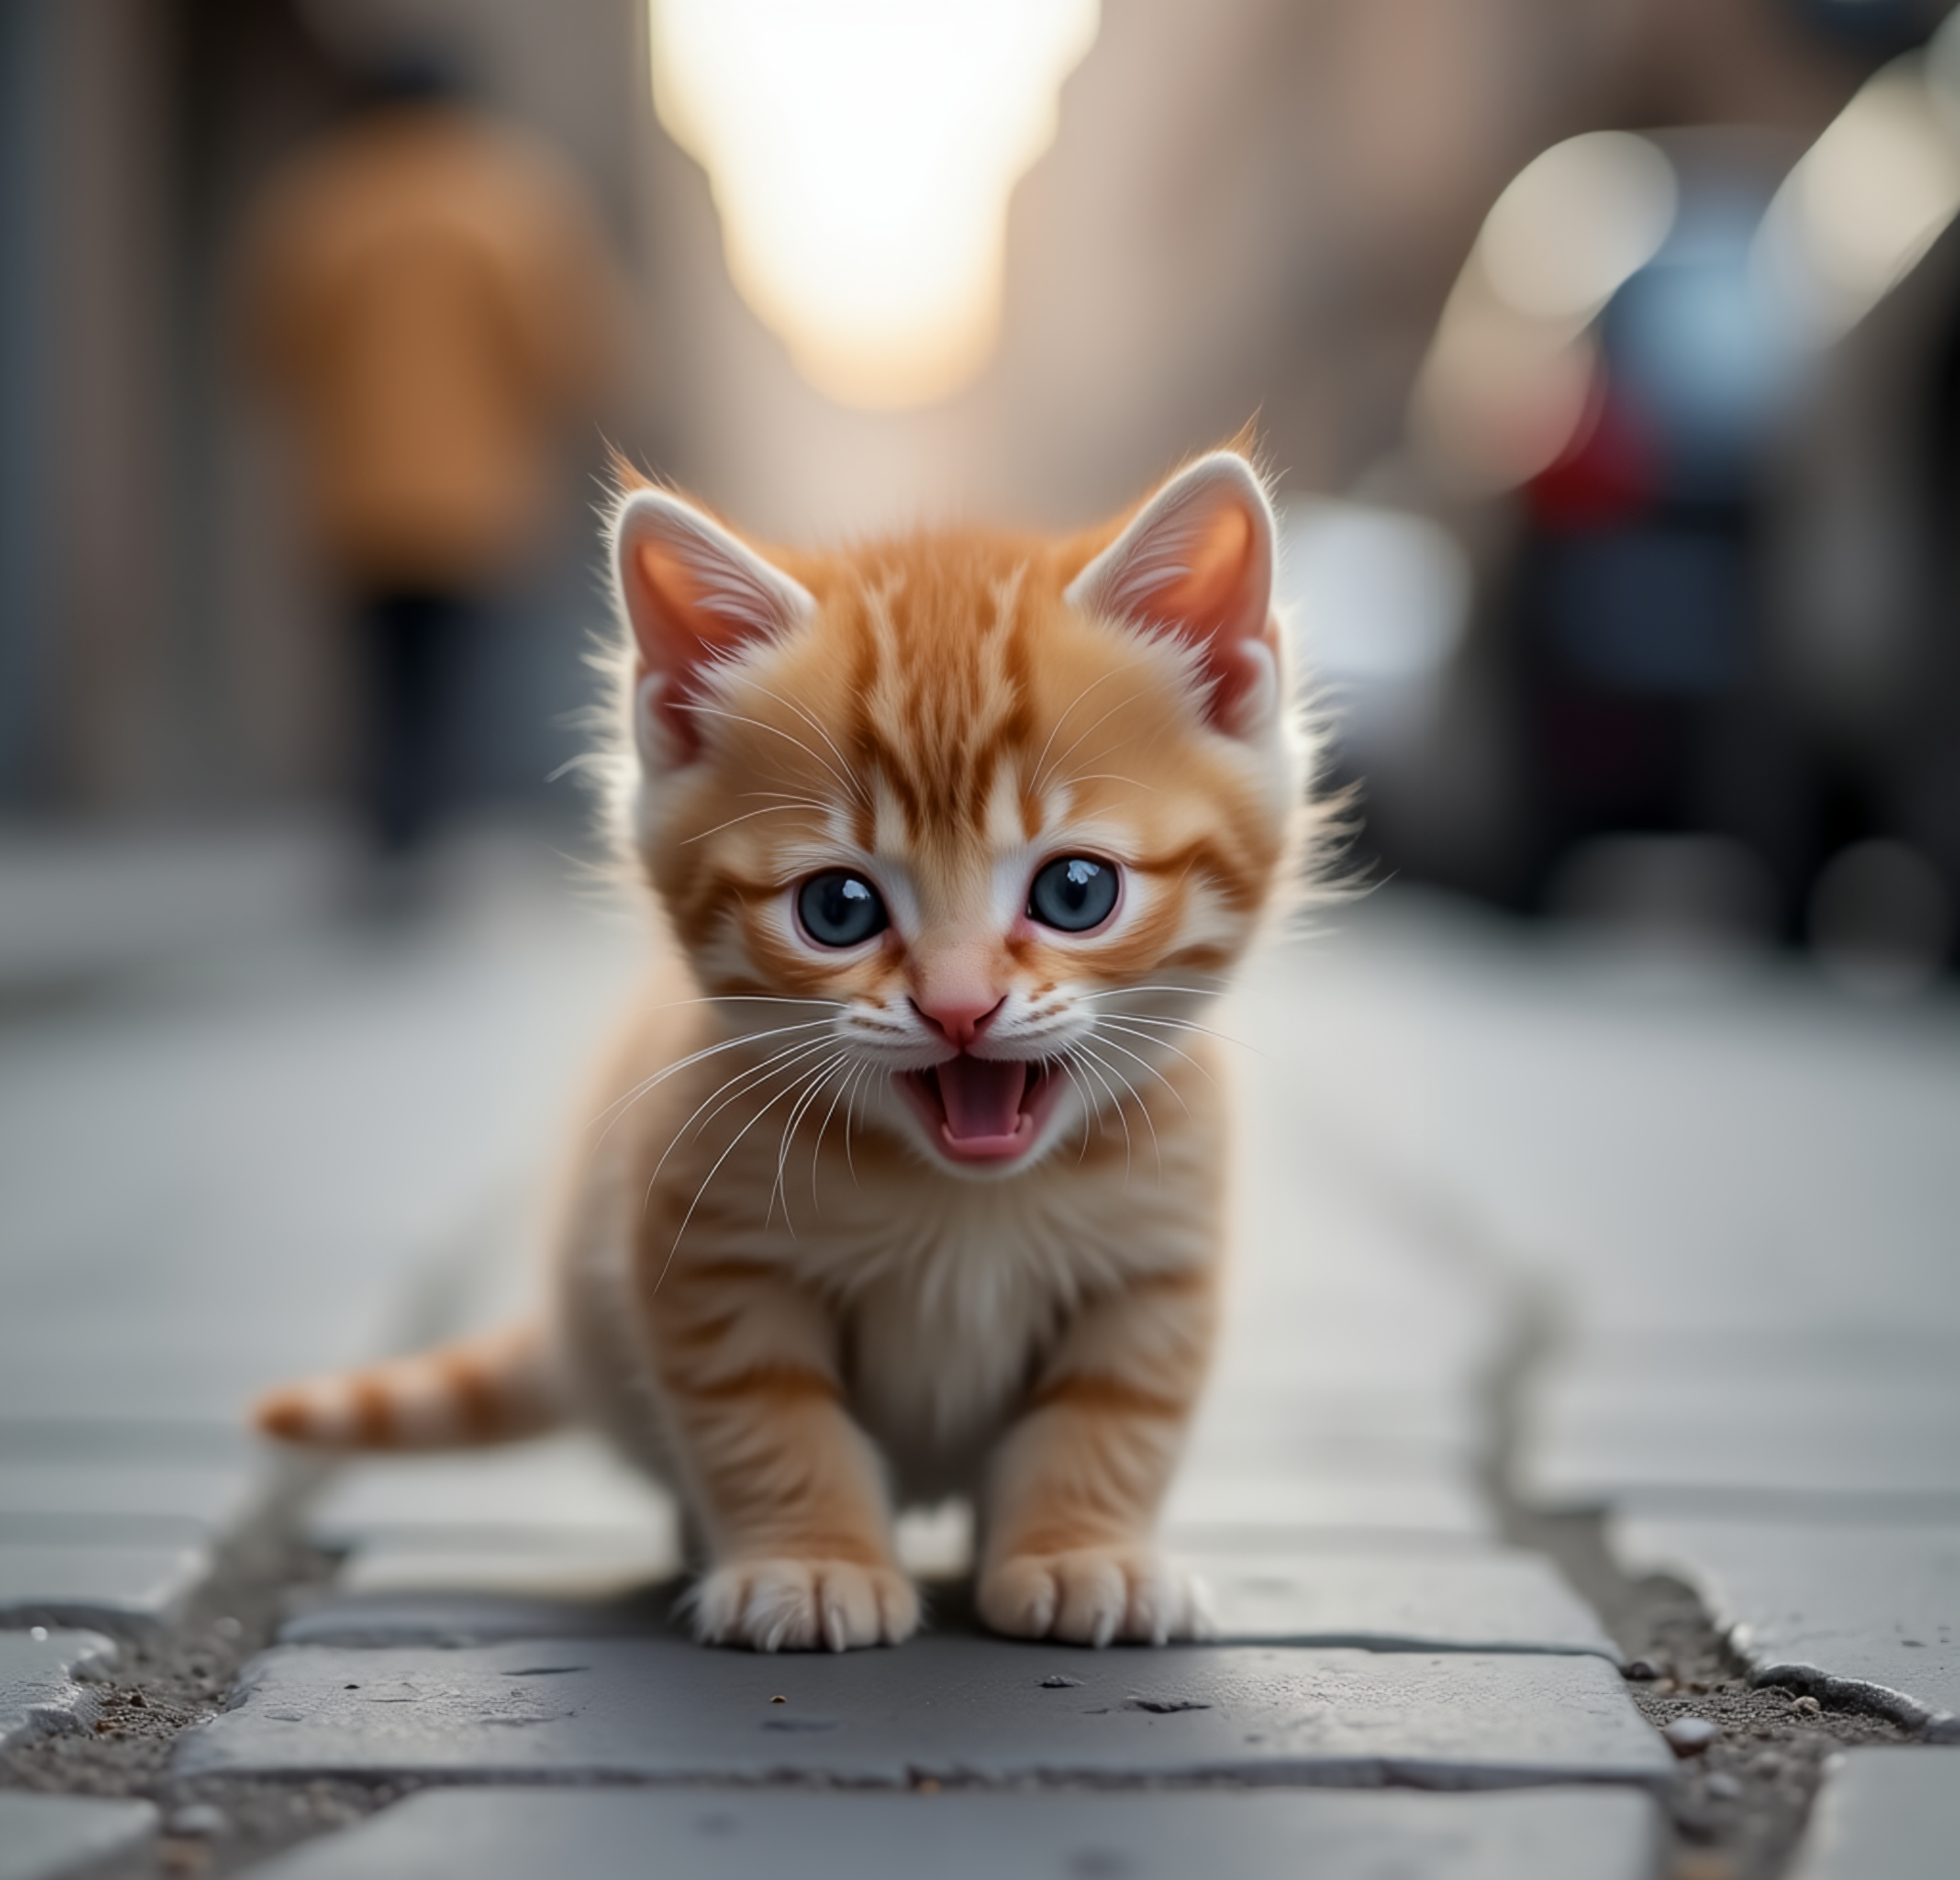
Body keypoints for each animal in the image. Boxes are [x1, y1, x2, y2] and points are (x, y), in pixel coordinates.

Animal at [253, 448, 1309, 1654]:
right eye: (838, 908)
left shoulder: (1155, 1268)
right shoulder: (705, 1252)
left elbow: (1114, 1416)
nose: (958, 1007)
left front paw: (1082, 1551)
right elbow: (767, 1421)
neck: (967, 1199)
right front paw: (809, 1562)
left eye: (1076, 891)